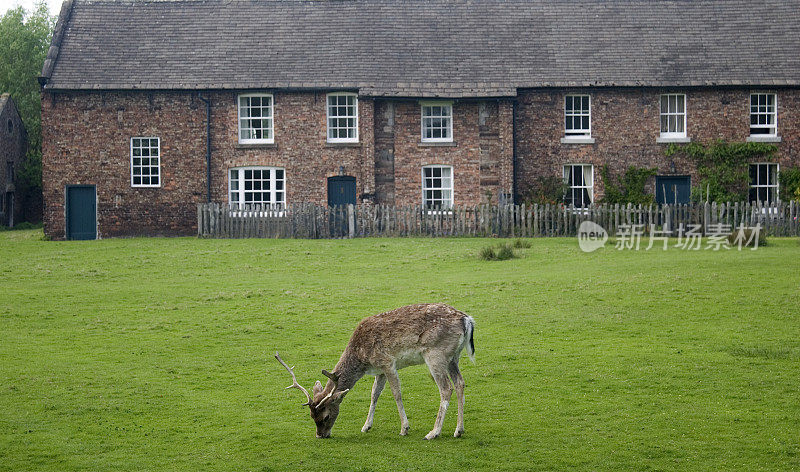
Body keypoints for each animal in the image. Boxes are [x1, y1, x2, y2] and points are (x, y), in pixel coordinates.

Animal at [276, 304, 476, 440]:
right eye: (311, 416)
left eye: (325, 416)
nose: (320, 435)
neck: (361, 358)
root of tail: (467, 320)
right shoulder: (379, 370)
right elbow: (374, 394)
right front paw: (366, 426)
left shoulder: (388, 363)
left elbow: (396, 394)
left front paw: (404, 428)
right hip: (453, 357)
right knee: (460, 383)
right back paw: (459, 430)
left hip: (435, 354)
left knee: (446, 388)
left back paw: (433, 432)